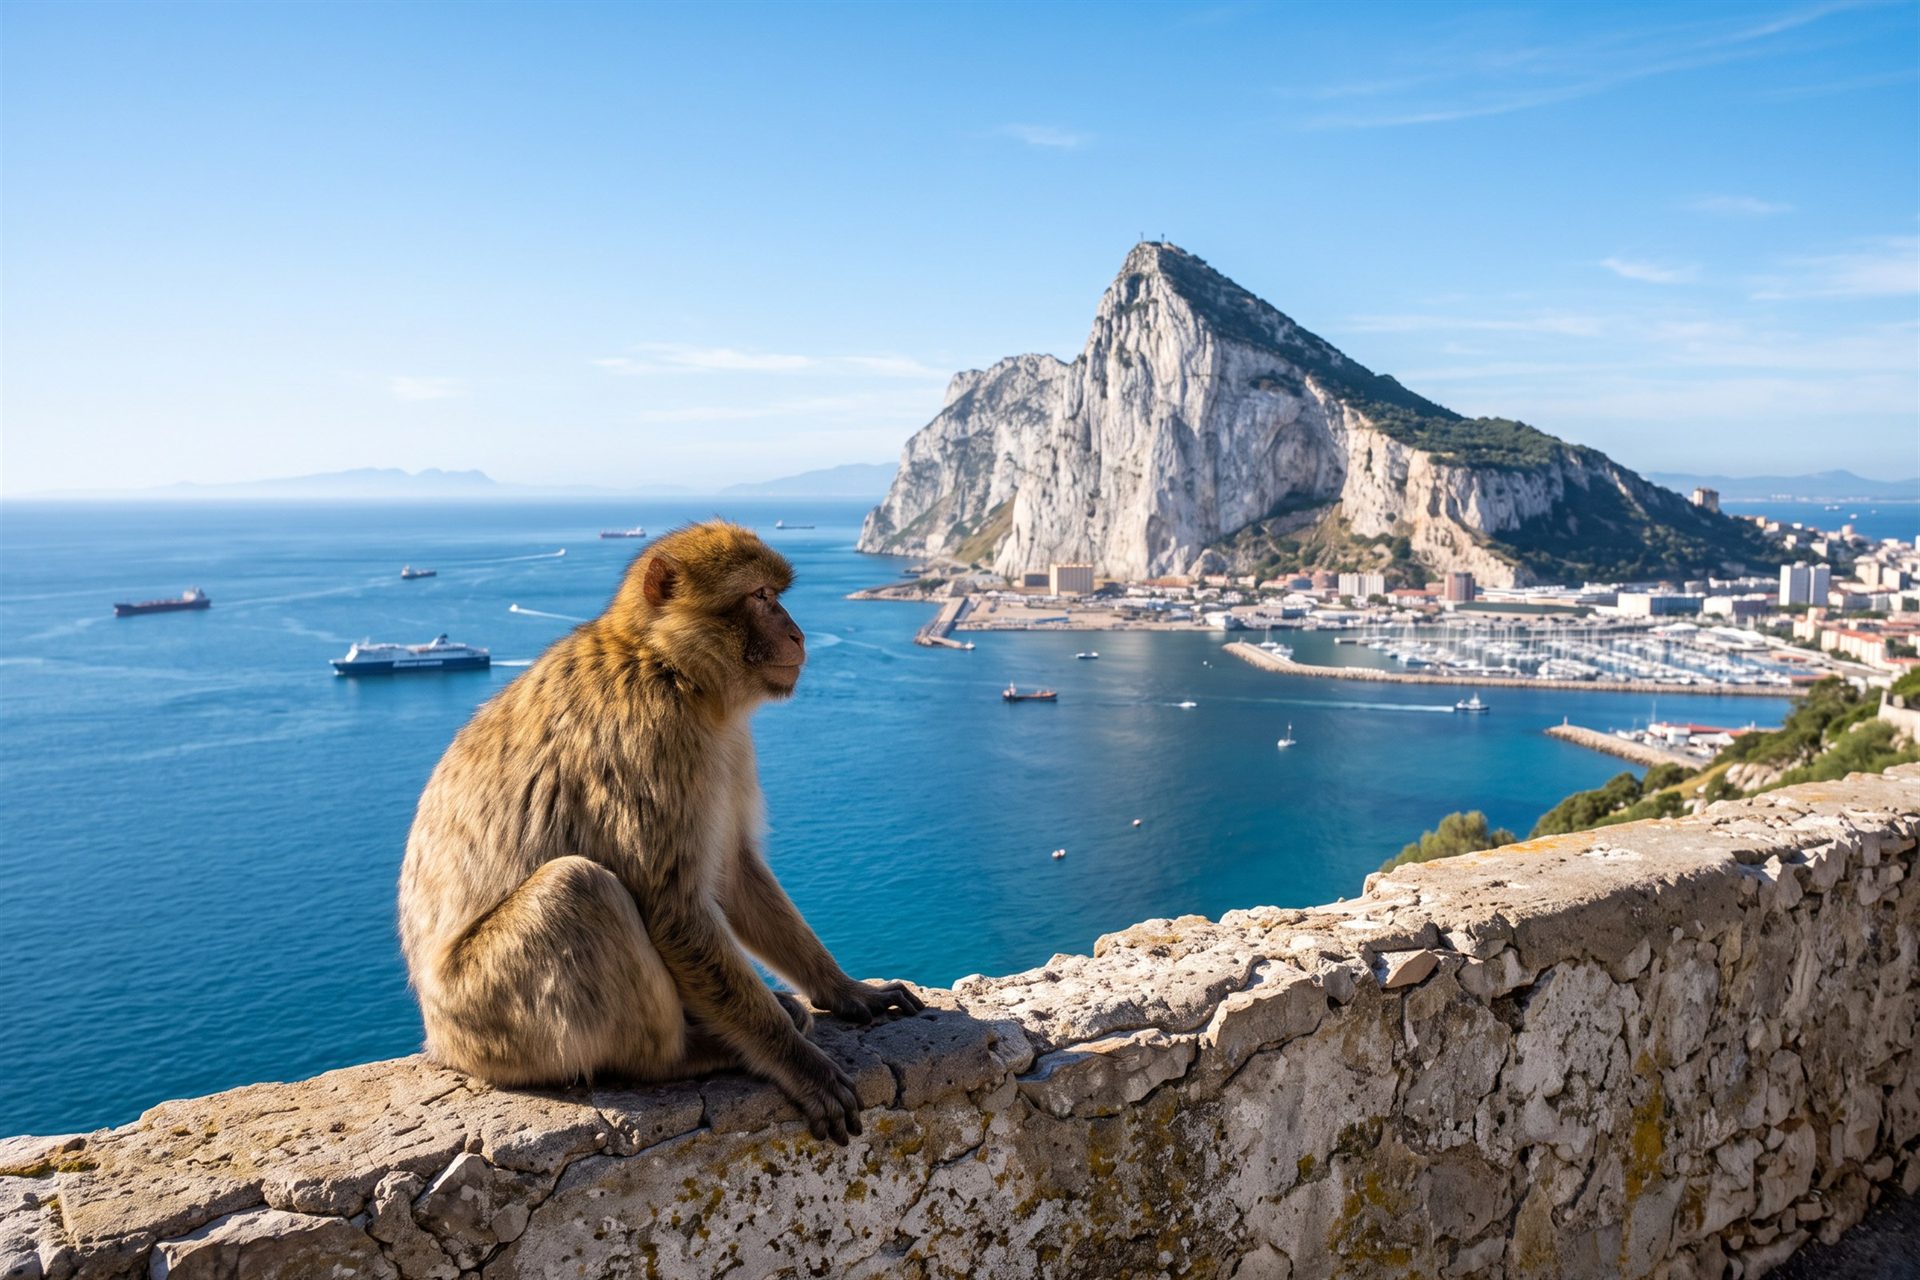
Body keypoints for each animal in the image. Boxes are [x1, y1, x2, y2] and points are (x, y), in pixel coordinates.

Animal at [397, 519, 923, 1145]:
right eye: (761, 596)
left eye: (777, 595)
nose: (797, 635)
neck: (667, 665)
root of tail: (441, 1040)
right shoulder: (655, 739)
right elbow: (675, 909)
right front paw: (799, 1064)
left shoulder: (726, 745)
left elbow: (733, 873)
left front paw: (846, 990)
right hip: (490, 1018)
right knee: (578, 889)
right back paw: (688, 1053)